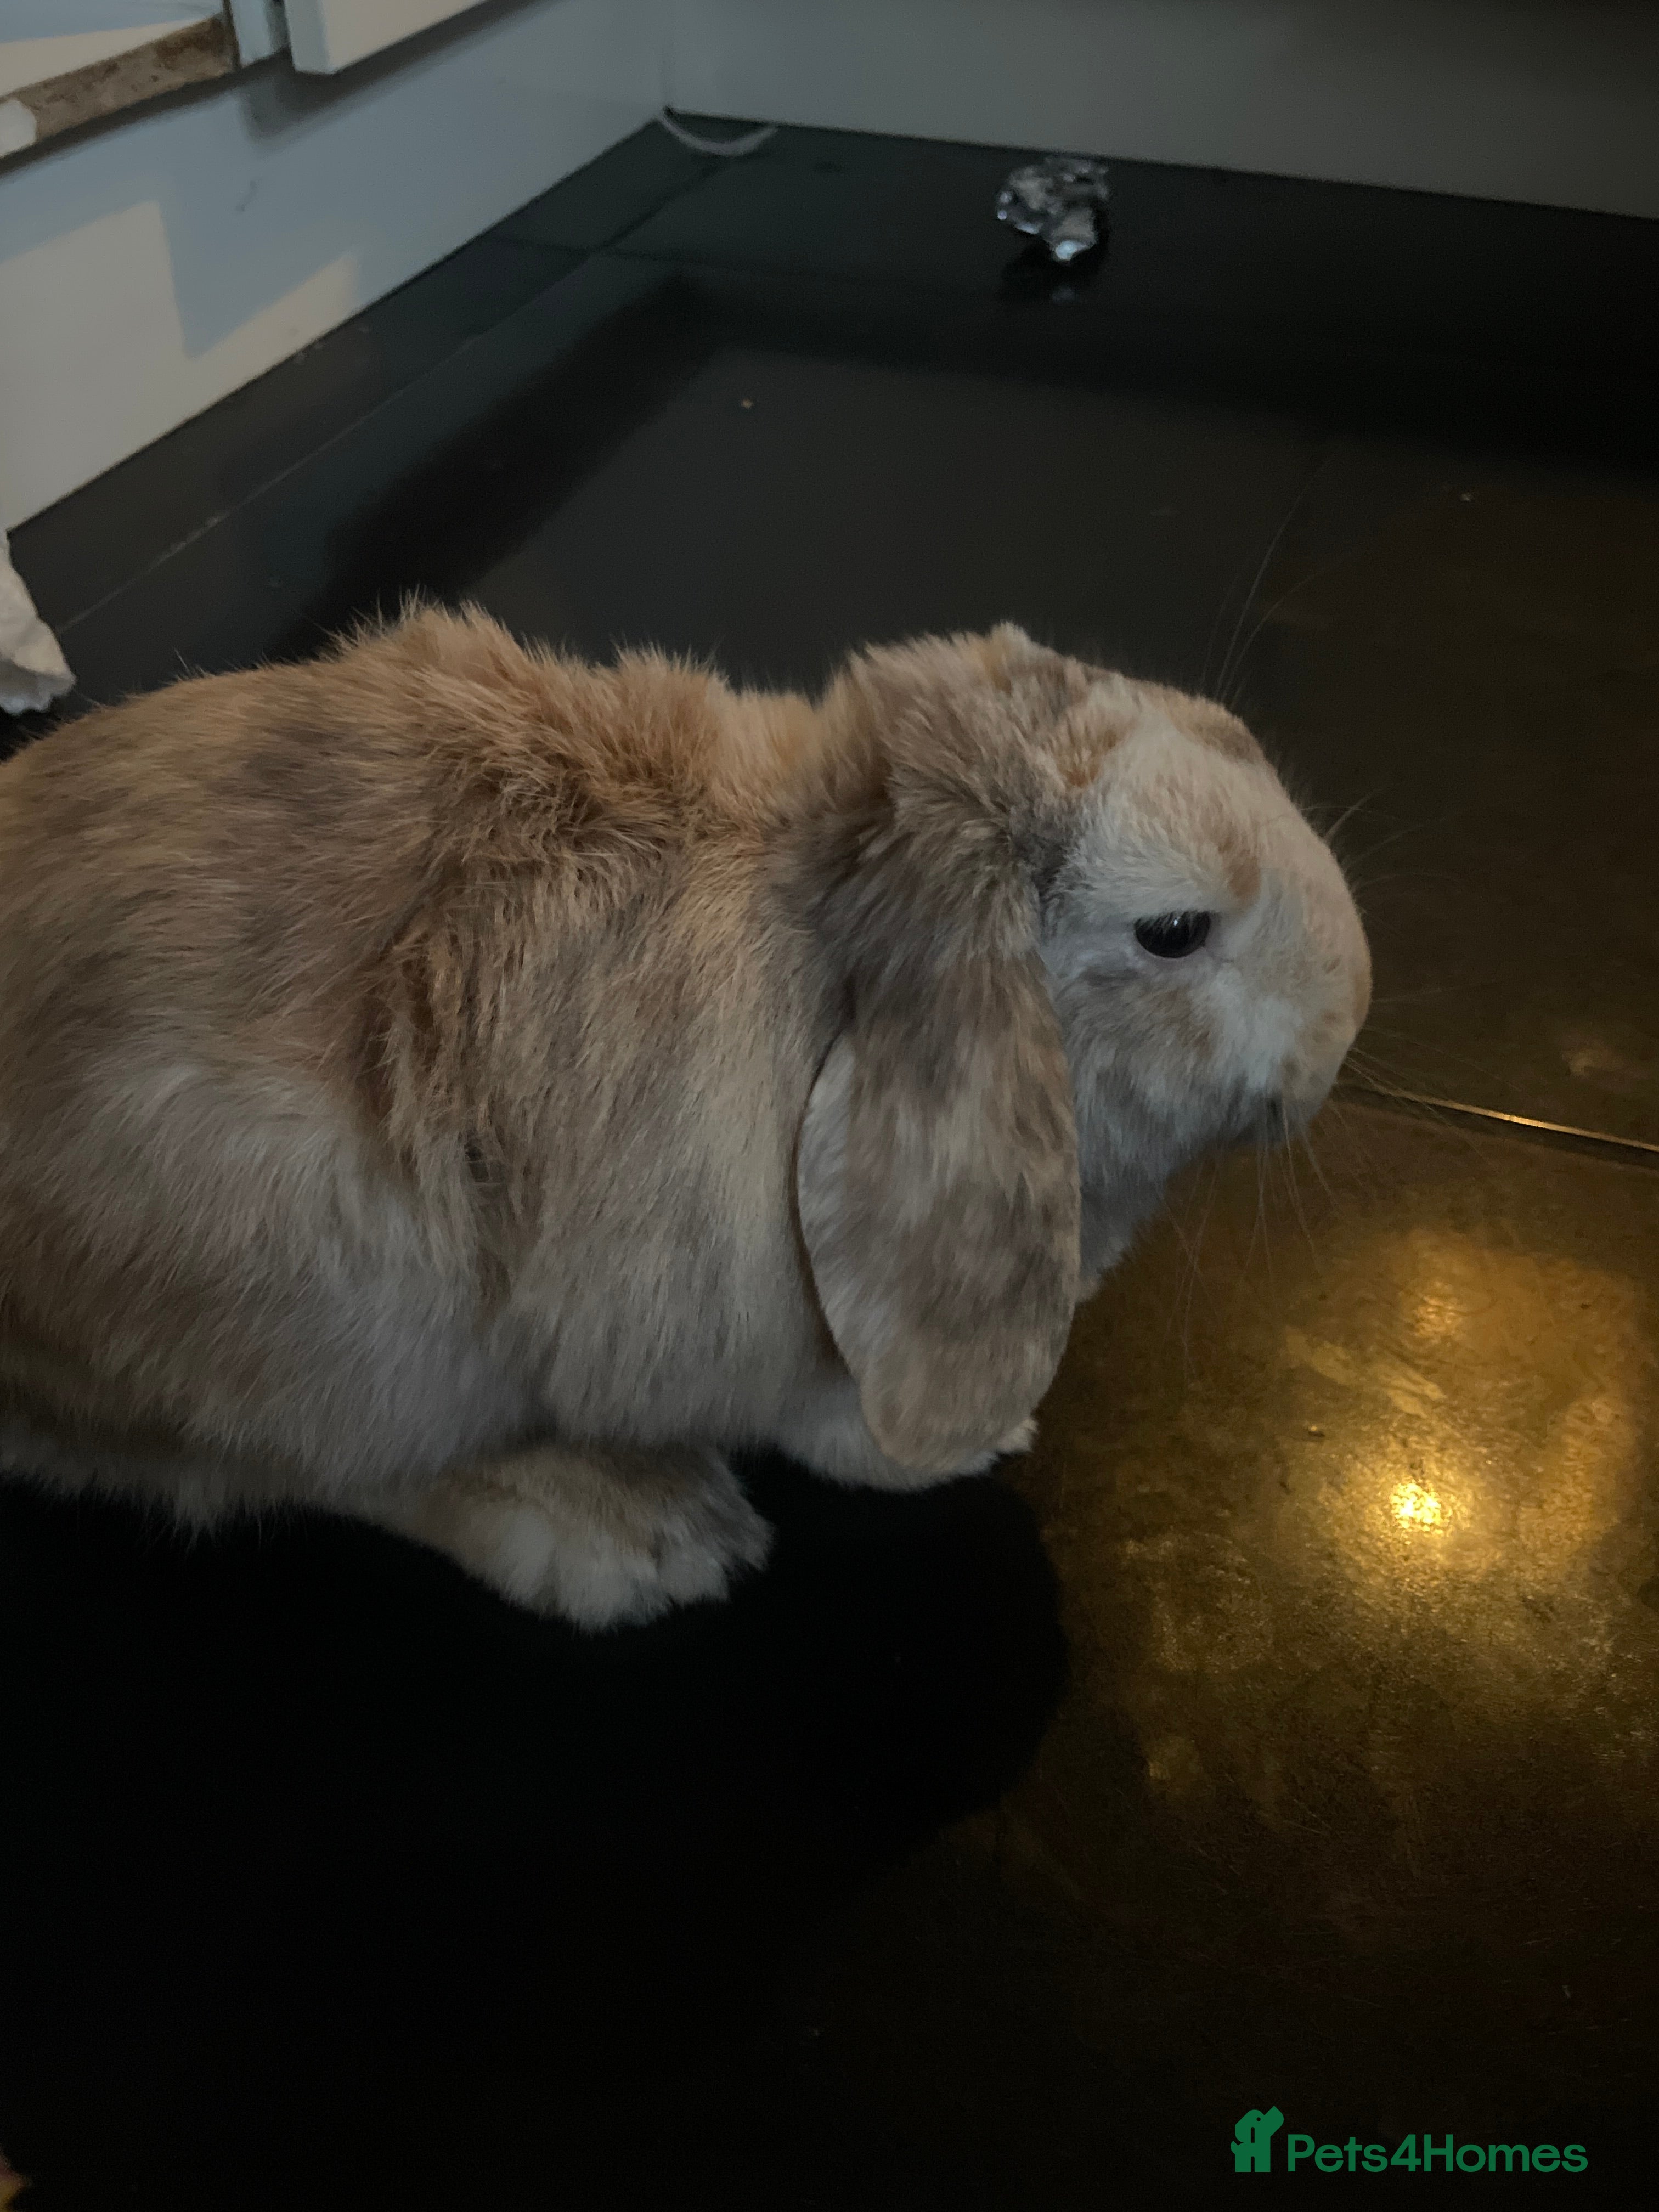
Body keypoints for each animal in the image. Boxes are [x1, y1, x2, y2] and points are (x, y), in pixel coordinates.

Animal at [0, 609, 1369, 1627]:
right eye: (1175, 929)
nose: (1351, 1010)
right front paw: (944, 1447)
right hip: (333, 1328)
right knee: (271, 1468)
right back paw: (639, 1533)